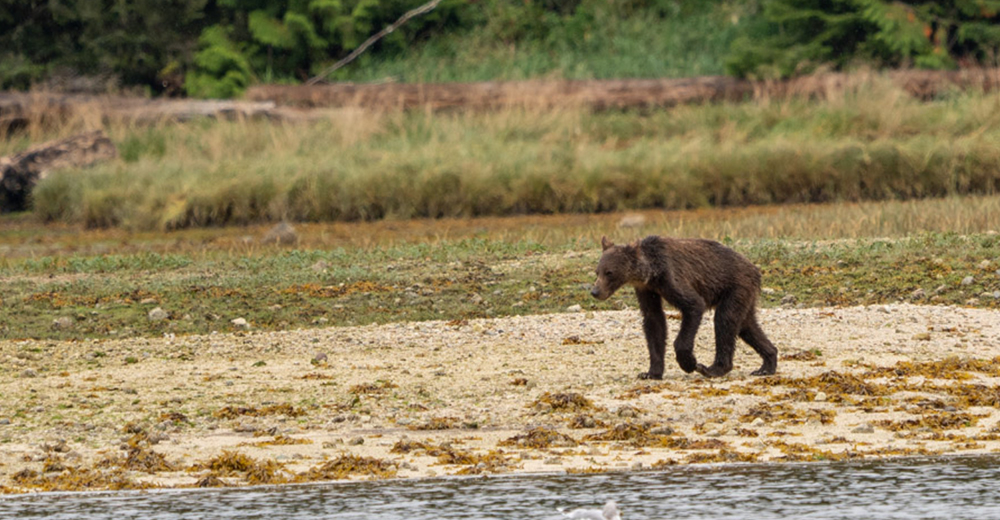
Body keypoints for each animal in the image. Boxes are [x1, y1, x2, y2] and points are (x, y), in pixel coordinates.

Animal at [588, 236, 776, 378]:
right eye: (597, 271)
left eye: (609, 272)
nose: (595, 291)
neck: (651, 273)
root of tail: (755, 269)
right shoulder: (646, 289)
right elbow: (654, 321)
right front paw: (650, 372)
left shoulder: (671, 277)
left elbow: (693, 305)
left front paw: (689, 363)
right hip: (744, 294)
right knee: (746, 325)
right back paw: (767, 364)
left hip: (735, 286)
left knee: (725, 320)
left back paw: (712, 368)